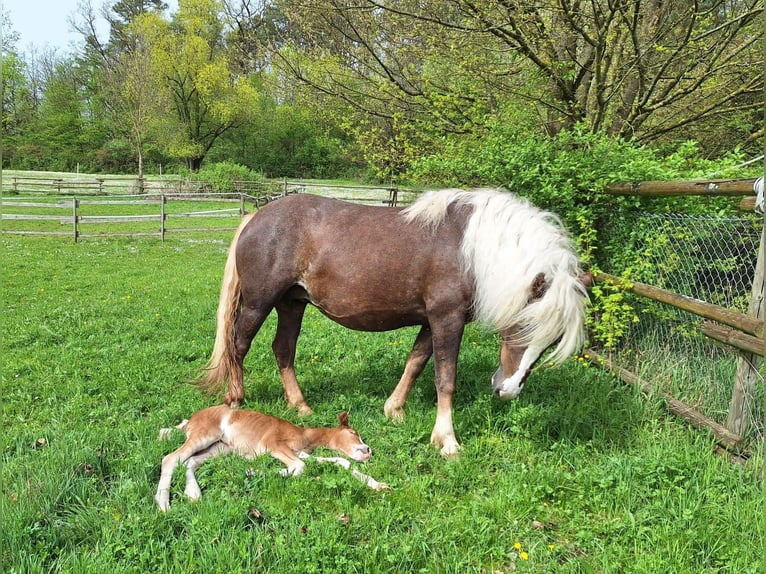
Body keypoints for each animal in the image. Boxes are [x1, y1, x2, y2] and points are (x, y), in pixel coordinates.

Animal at [154, 404, 390, 512]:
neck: (306, 436)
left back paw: (193, 494)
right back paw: (163, 504)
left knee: (190, 461)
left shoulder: (300, 452)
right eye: (353, 433)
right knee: (171, 458)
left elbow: (340, 461)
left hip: (220, 447)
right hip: (205, 433)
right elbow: (300, 466)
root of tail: (190, 420)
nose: (368, 450)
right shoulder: (273, 444)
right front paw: (253, 471)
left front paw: (377, 485)